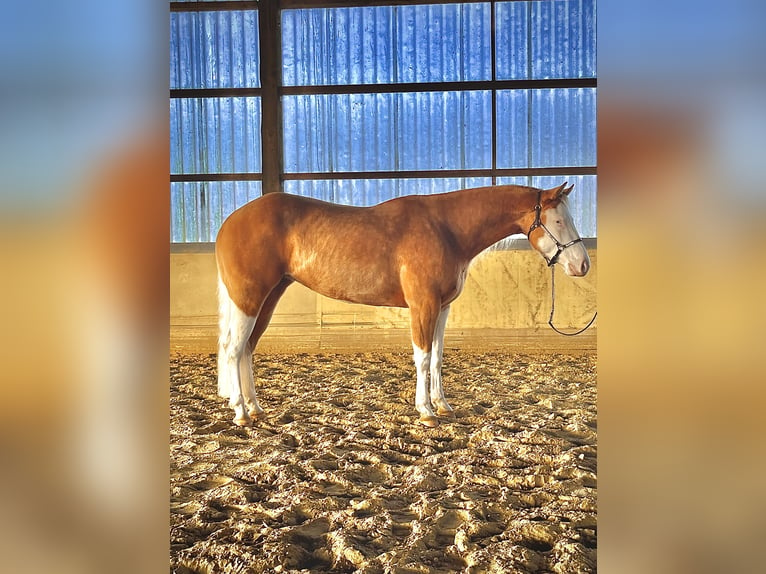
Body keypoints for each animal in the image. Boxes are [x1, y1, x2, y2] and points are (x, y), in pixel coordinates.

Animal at [216, 182, 592, 430]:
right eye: (559, 221)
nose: (582, 264)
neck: (446, 229)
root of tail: (230, 222)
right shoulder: (422, 305)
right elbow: (422, 358)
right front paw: (425, 411)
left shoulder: (442, 308)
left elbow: (438, 358)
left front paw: (443, 405)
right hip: (250, 298)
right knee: (234, 349)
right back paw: (241, 413)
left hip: (268, 298)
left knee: (247, 349)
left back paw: (255, 408)